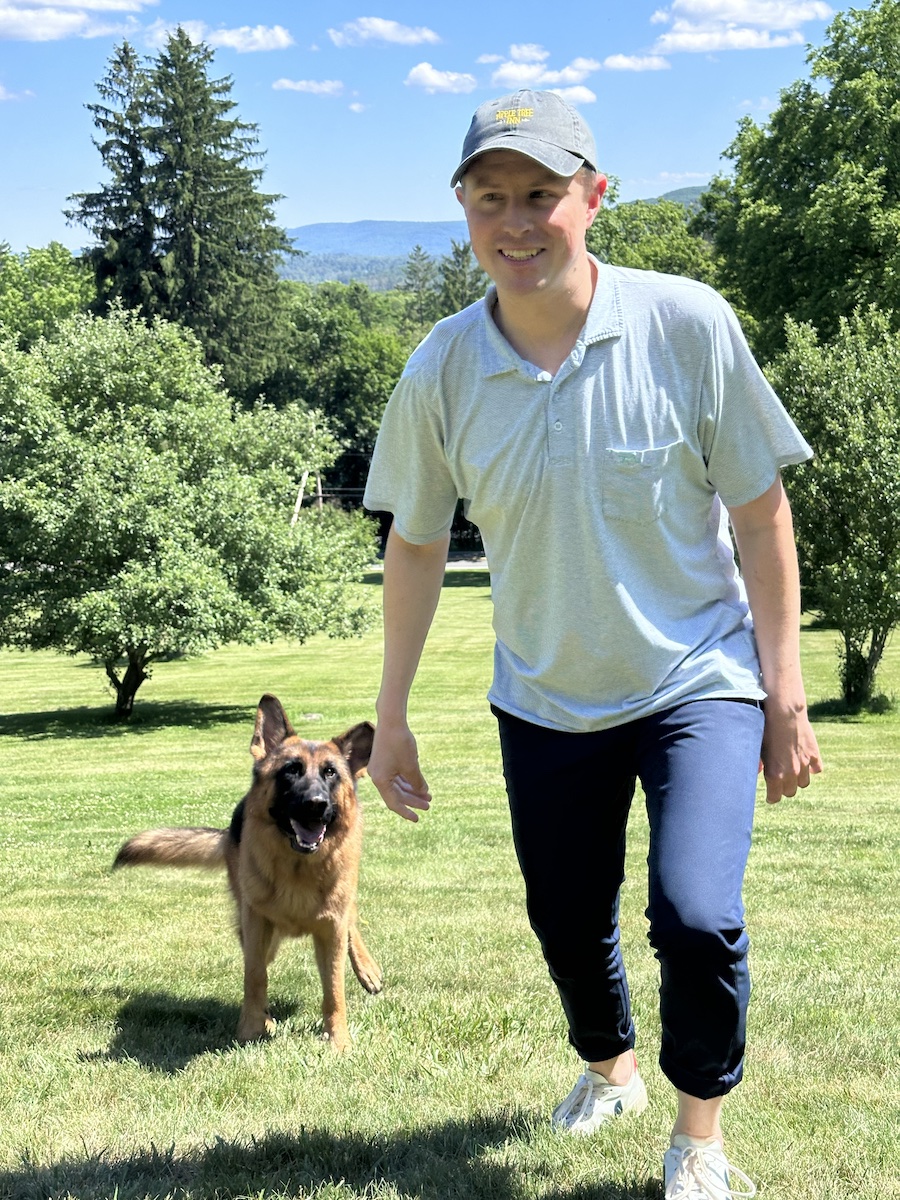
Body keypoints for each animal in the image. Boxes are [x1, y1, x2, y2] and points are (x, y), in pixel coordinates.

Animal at [112, 696, 381, 1051]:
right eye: (290, 770)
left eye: (330, 773)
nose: (315, 804)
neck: (298, 869)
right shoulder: (256, 925)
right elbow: (255, 976)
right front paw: (252, 1027)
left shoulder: (331, 929)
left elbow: (334, 987)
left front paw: (338, 1041)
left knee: (351, 919)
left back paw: (367, 968)